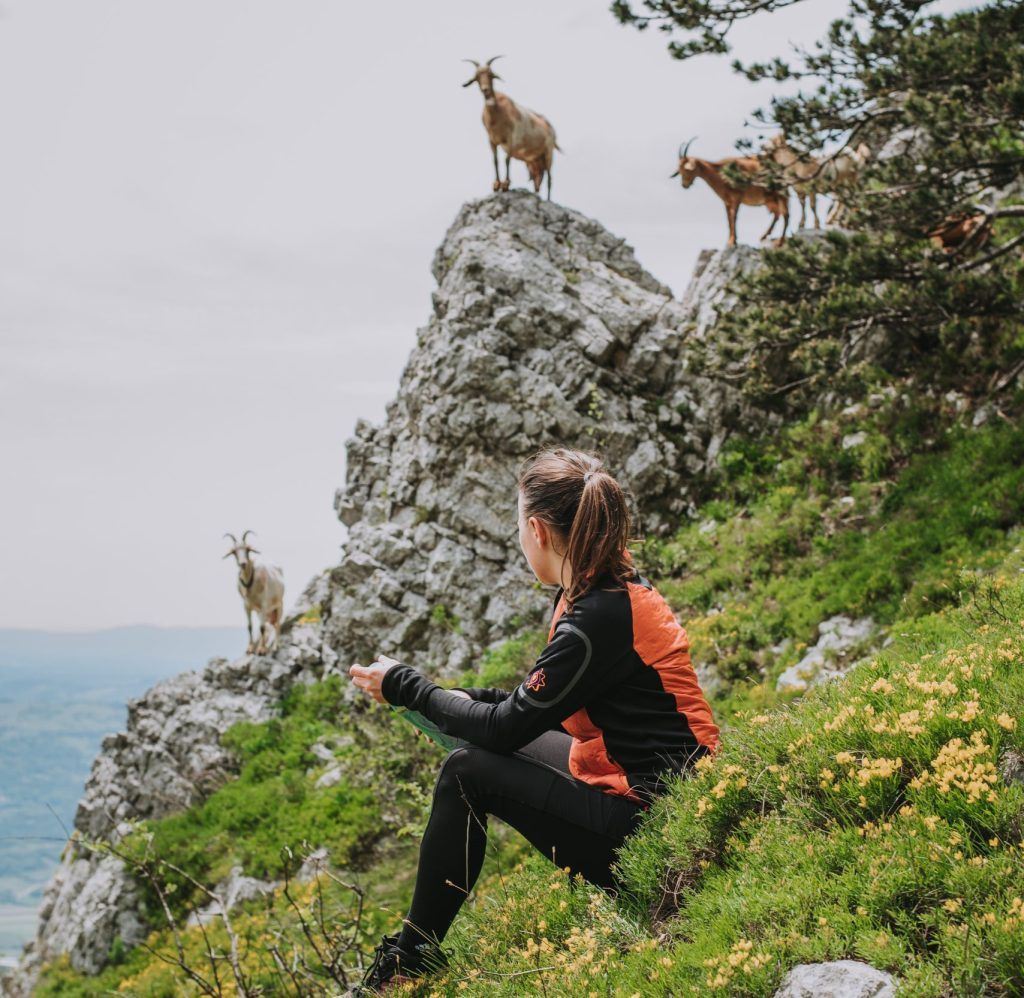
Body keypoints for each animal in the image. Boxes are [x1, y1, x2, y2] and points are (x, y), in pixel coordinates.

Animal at [223, 528, 284, 659]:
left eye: (247, 549)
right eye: (234, 552)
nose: (243, 563)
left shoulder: (264, 604)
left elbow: (262, 627)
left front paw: (262, 650)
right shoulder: (246, 606)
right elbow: (250, 626)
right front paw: (250, 649)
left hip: (279, 605)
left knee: (277, 624)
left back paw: (275, 647)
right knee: (267, 625)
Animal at [464, 57, 561, 201]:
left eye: (491, 75)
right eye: (476, 78)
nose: (485, 90)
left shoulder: (511, 138)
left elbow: (507, 160)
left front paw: (506, 185)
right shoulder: (492, 140)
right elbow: (495, 160)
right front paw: (496, 185)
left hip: (548, 152)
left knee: (549, 179)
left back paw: (548, 200)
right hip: (534, 160)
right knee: (537, 179)